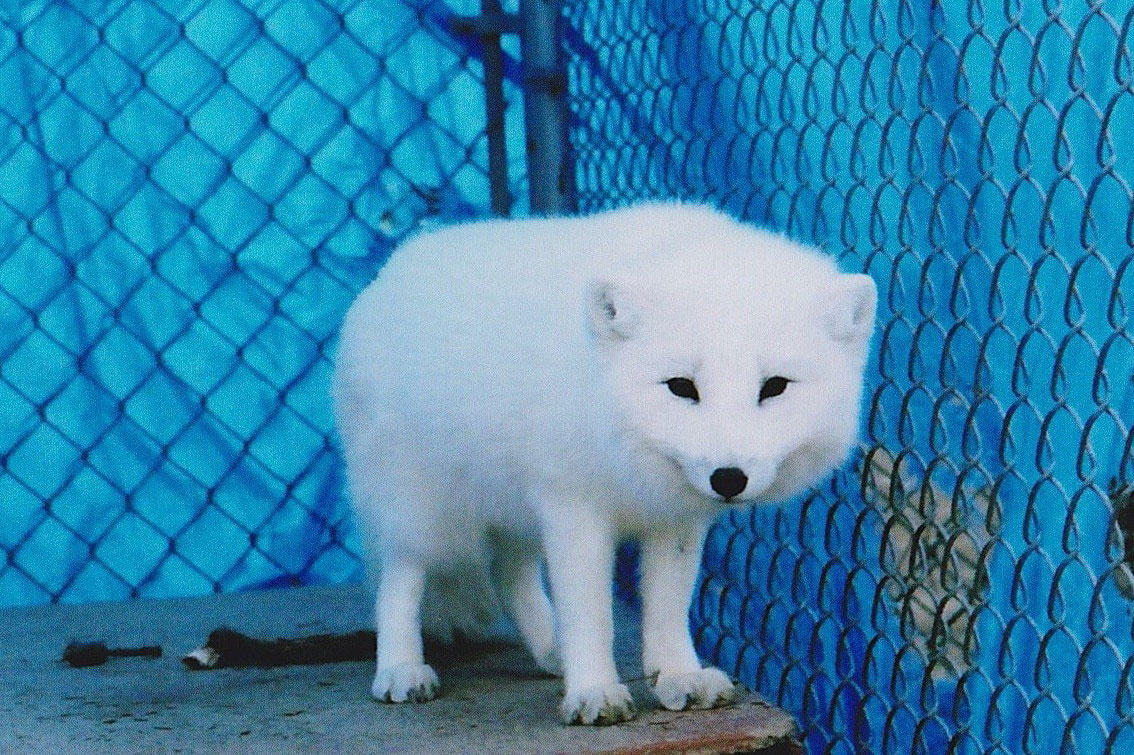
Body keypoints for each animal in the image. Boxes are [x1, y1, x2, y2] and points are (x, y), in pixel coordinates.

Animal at [331, 202, 875, 720]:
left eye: (775, 386)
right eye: (681, 387)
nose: (728, 478)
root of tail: (388, 273)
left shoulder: (673, 518)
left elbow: (668, 606)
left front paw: (679, 676)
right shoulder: (572, 507)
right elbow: (590, 612)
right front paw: (593, 690)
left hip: (513, 510)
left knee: (510, 573)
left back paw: (552, 651)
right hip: (420, 509)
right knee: (399, 578)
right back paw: (401, 669)